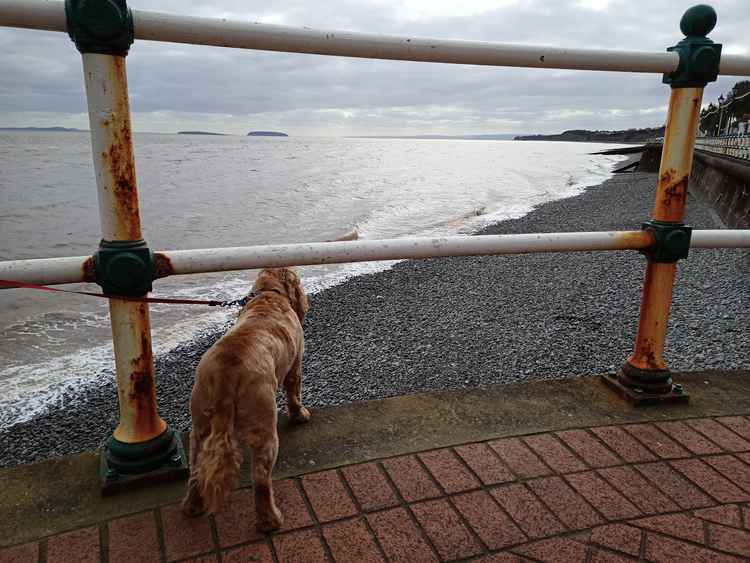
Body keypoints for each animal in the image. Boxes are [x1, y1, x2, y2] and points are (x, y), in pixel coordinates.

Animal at [183, 268, 312, 532]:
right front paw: (300, 415)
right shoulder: (295, 363)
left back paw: (192, 507)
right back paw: (270, 521)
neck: (268, 294)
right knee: (261, 479)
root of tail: (226, 375)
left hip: (200, 420)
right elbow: (294, 391)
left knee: (195, 470)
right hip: (263, 421)